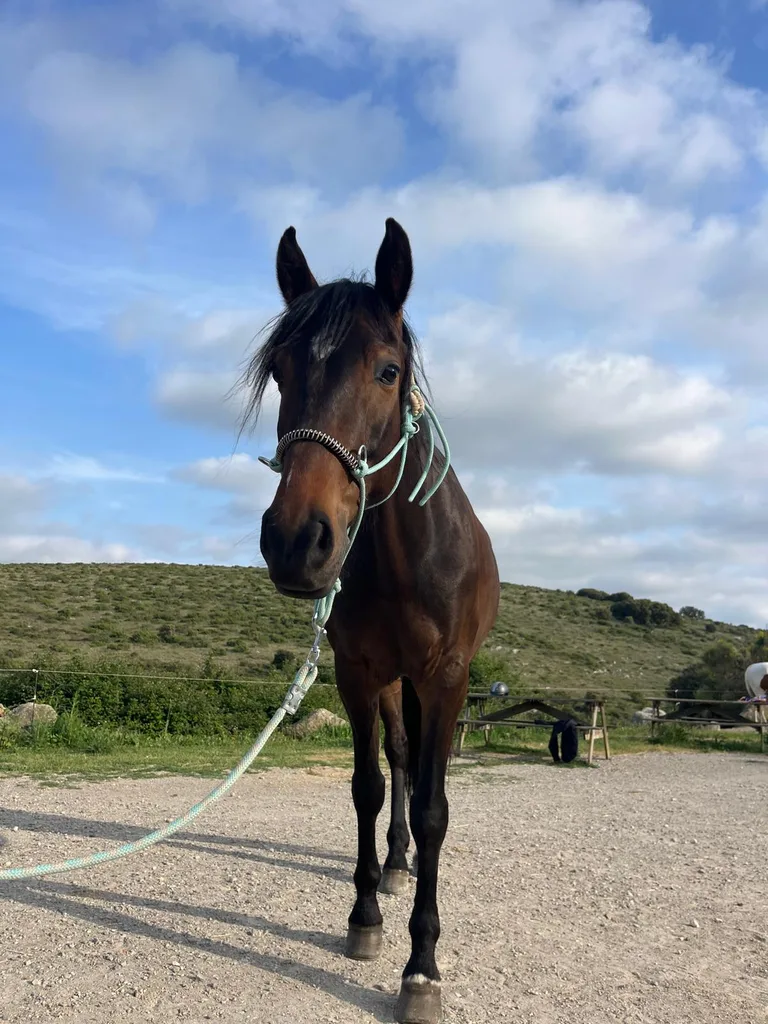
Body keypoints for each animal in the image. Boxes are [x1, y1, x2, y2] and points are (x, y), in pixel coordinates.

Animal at [243, 217, 500, 1024]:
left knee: (421, 777)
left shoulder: (446, 679)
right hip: (392, 685)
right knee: (399, 758)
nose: (296, 541)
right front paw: (365, 918)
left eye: (388, 371)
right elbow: (369, 787)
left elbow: (435, 807)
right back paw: (392, 866)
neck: (402, 556)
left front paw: (422, 967)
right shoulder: (358, 675)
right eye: (281, 370)